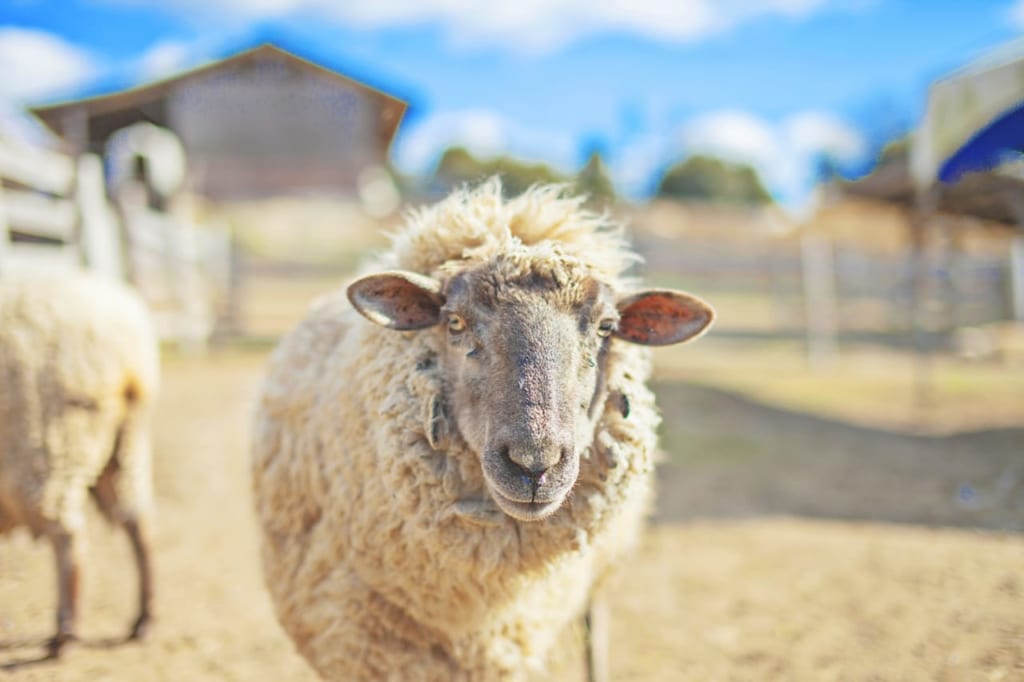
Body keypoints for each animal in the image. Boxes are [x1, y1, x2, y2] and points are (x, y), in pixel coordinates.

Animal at [0, 268, 158, 655]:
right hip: (122, 448)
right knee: (138, 521)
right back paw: (143, 621)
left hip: (48, 445)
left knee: (69, 537)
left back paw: (65, 635)